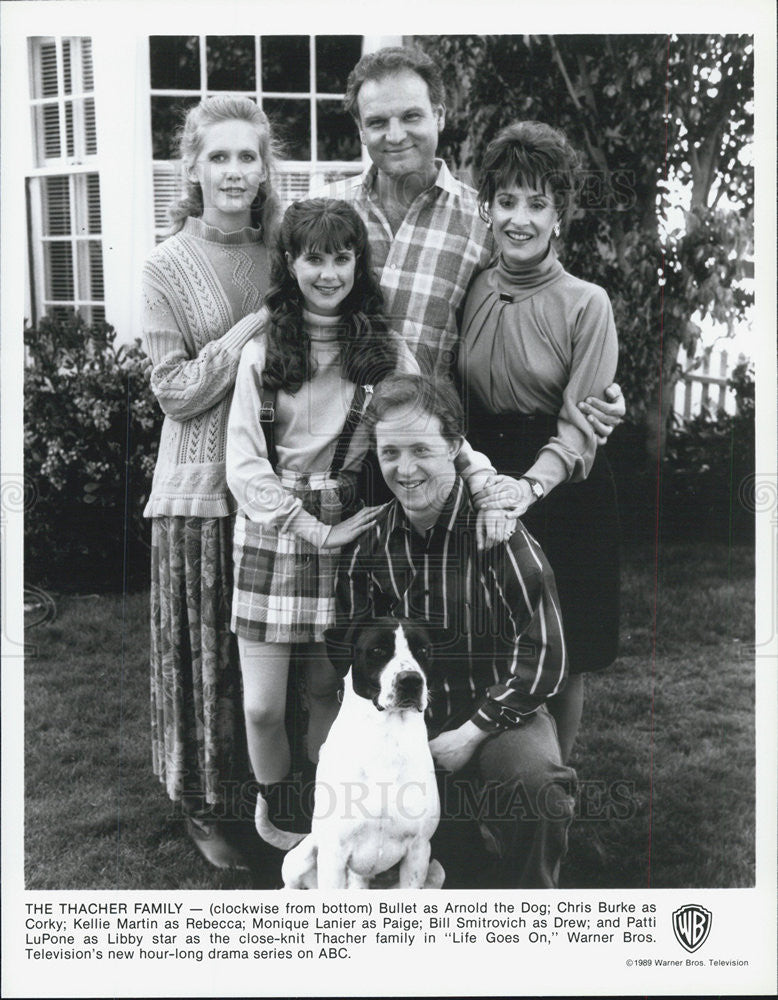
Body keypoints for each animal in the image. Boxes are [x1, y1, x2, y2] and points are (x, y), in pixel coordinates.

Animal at [256, 616, 442, 892]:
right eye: (377, 650)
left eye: (423, 651)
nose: (411, 680)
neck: (386, 739)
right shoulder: (334, 851)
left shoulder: (418, 850)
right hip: (302, 857)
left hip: (435, 871)